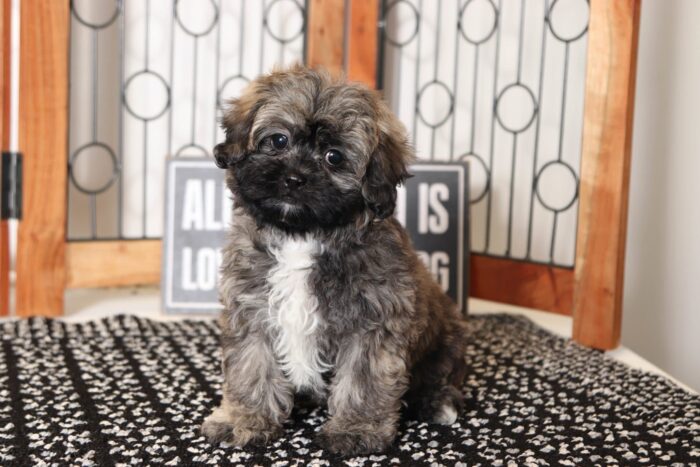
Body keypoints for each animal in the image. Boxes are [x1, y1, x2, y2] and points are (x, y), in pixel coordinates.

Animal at [200, 66, 468, 458]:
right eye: (278, 140)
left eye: (334, 157)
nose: (294, 179)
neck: (303, 237)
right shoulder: (251, 310)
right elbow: (250, 366)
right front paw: (243, 419)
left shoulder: (372, 322)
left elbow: (364, 380)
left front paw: (355, 430)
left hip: (448, 339)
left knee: (439, 377)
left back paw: (438, 403)